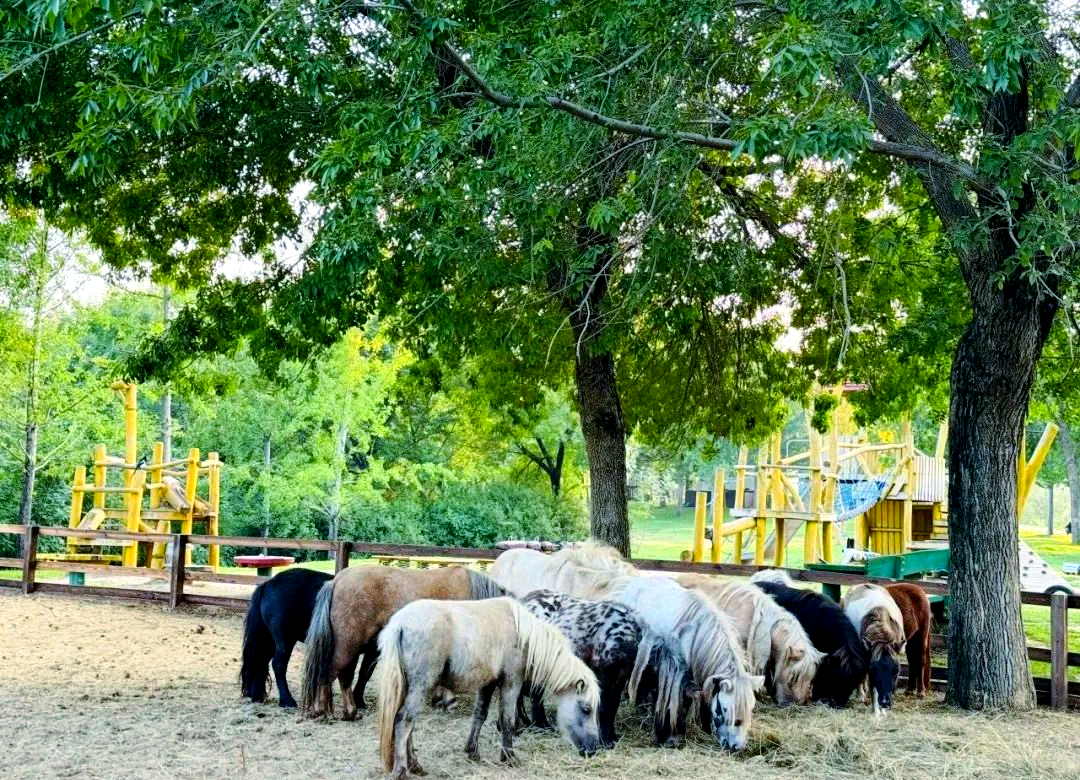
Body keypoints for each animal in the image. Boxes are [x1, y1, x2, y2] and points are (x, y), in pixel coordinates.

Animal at [241, 567, 335, 708]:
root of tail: (268, 584)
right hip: (285, 639)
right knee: (278, 664)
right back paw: (287, 700)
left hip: (270, 640)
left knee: (261, 660)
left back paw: (257, 696)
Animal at [301, 565, 505, 720]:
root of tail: (336, 581)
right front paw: (448, 701)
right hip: (348, 646)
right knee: (328, 673)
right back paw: (322, 710)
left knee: (344, 676)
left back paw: (349, 711)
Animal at [375, 597, 601, 778]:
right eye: (586, 709)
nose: (593, 749)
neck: (524, 635)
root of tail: (399, 624)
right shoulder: (511, 682)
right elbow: (507, 720)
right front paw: (509, 757)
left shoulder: (488, 684)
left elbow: (480, 715)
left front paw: (472, 751)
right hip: (420, 687)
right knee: (404, 721)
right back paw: (402, 770)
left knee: (408, 724)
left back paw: (415, 765)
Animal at [519, 589, 695, 747]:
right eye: (679, 707)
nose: (674, 743)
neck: (631, 639)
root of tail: (524, 602)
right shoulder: (606, 675)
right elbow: (605, 707)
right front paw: (605, 741)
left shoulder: (621, 677)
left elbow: (613, 707)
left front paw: (612, 736)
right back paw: (540, 725)